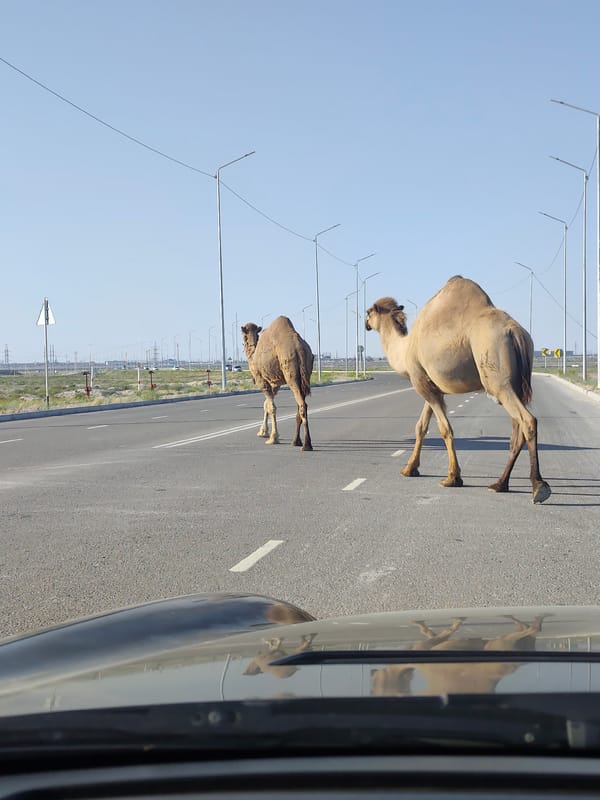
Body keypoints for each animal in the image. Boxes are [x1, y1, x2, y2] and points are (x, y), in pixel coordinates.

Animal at [241, 316, 314, 451]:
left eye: (244, 335)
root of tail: (300, 349)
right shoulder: (275, 384)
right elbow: (266, 405)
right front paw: (263, 432)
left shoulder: (262, 380)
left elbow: (271, 407)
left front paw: (273, 438)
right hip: (306, 374)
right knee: (301, 404)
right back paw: (295, 441)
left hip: (290, 373)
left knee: (302, 405)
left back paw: (306, 445)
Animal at [365, 276, 551, 503]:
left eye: (368, 312)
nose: (365, 323)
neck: (405, 348)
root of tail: (514, 332)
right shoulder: (432, 386)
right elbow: (421, 426)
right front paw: (410, 469)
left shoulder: (420, 382)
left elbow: (445, 428)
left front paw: (452, 478)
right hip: (516, 383)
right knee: (516, 432)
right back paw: (500, 484)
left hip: (498, 379)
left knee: (527, 420)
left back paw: (539, 487)